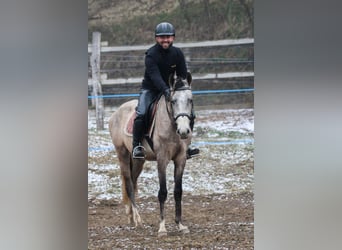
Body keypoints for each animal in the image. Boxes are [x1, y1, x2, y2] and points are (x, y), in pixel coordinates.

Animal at [109, 72, 195, 236]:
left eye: (190, 100)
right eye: (173, 101)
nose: (183, 131)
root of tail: (116, 112)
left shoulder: (181, 159)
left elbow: (178, 191)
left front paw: (180, 225)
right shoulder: (162, 160)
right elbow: (163, 192)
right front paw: (162, 228)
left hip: (138, 160)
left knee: (133, 181)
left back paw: (131, 216)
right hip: (122, 154)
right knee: (129, 184)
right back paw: (138, 219)